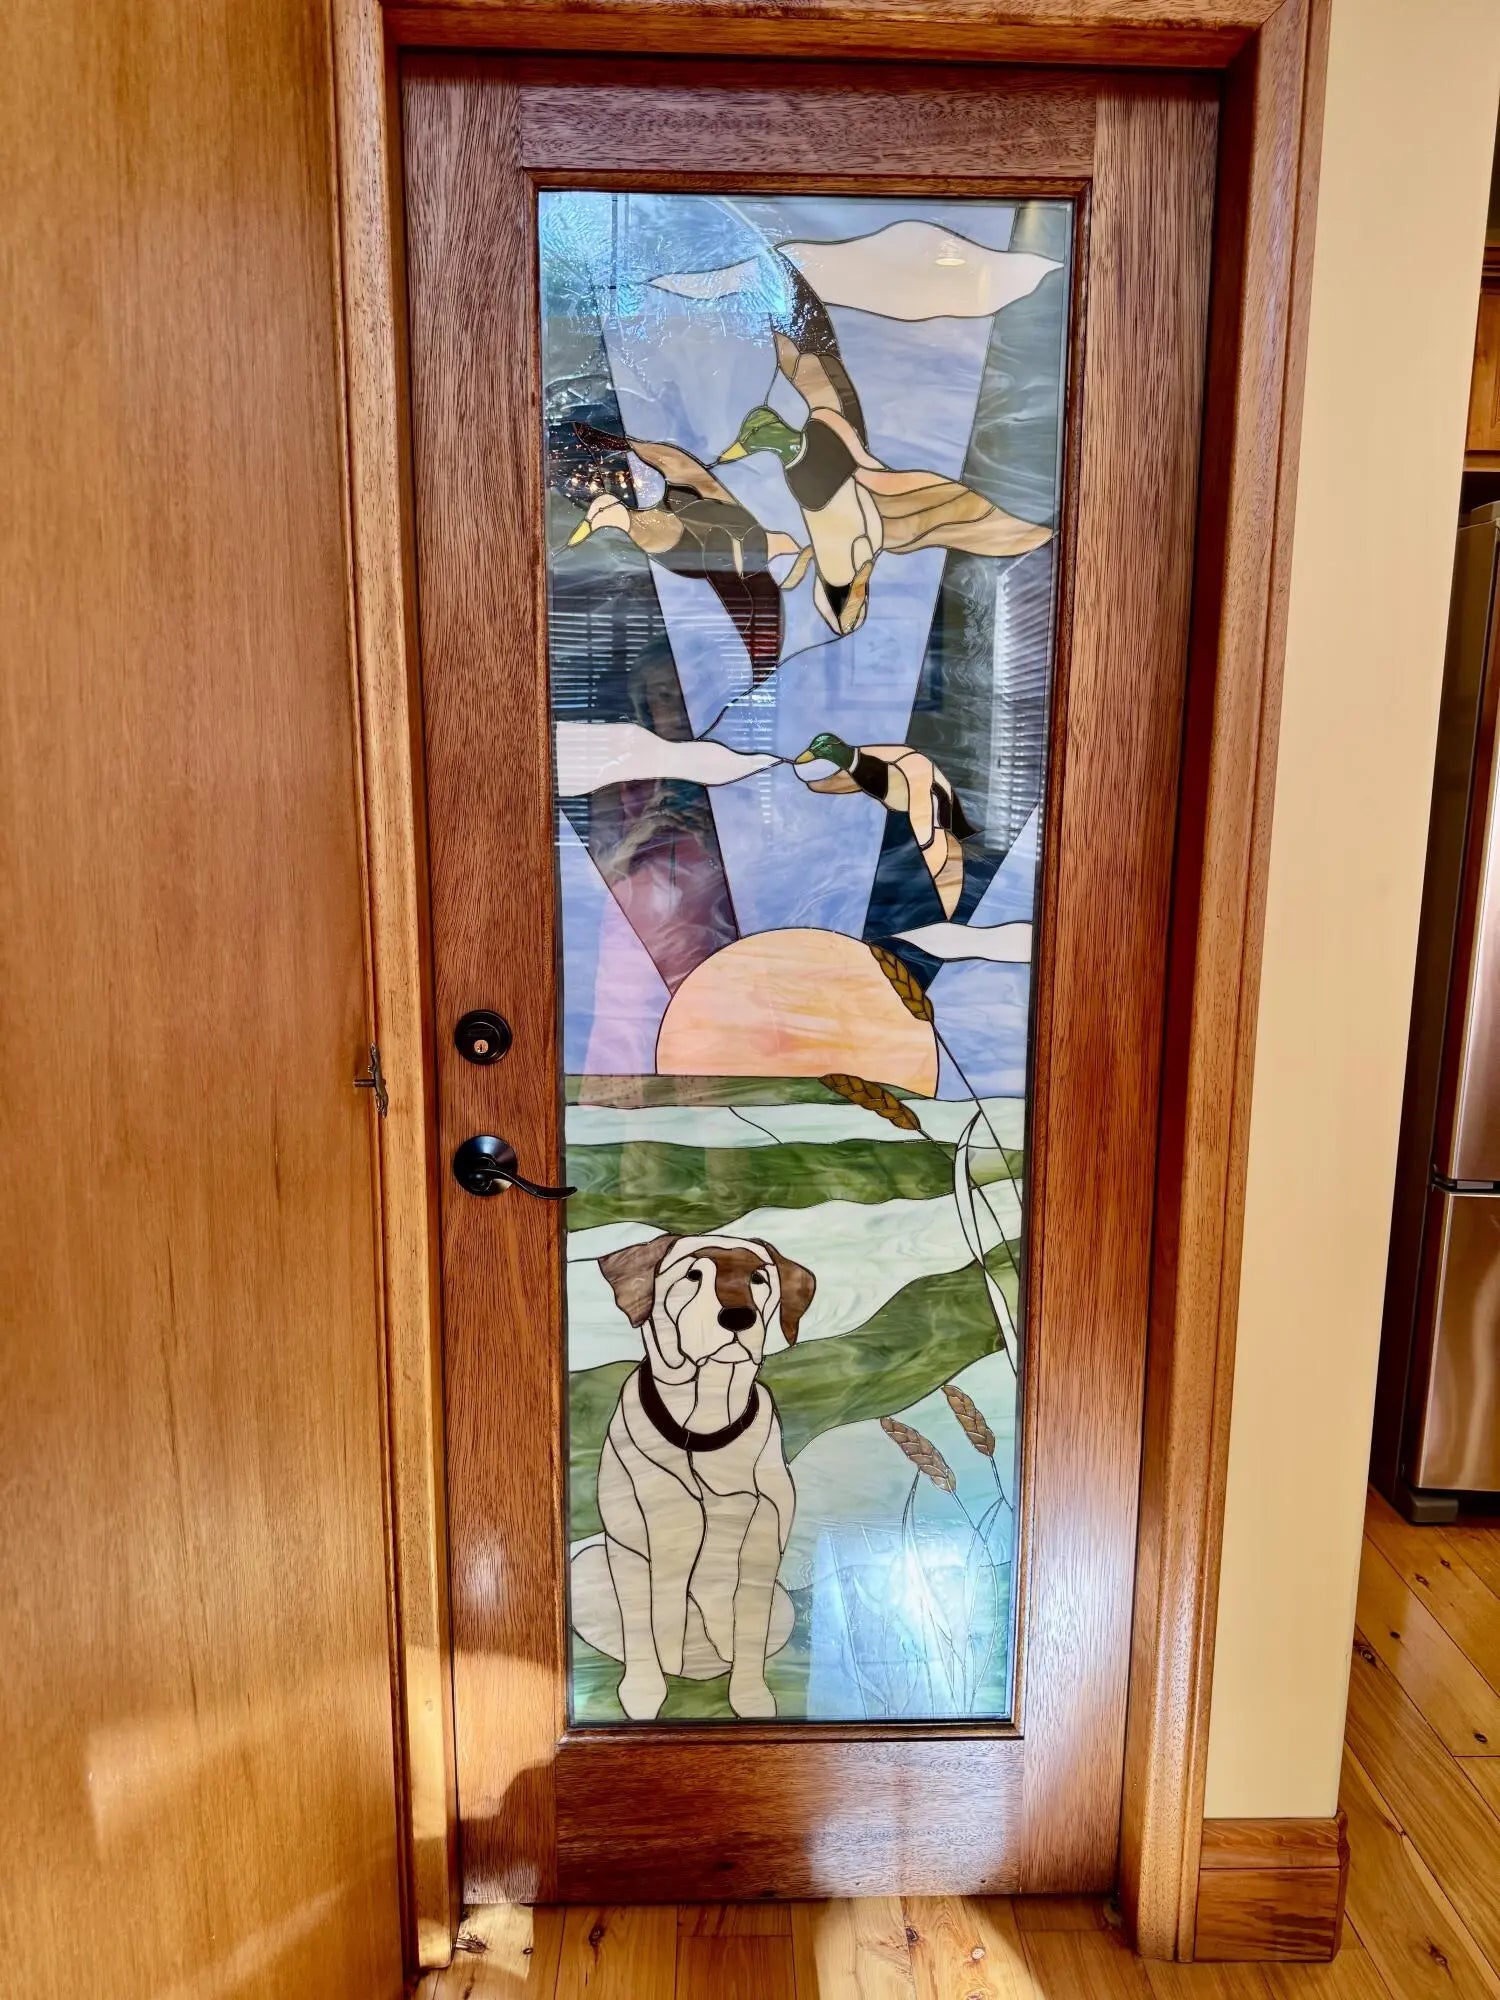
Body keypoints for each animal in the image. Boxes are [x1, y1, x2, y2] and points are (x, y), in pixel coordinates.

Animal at [570, 1232, 815, 1720]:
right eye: (692, 1274)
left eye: (759, 1278)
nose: (738, 1316)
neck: (702, 1428)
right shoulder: (636, 1548)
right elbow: (645, 1624)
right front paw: (643, 1694)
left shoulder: (761, 1549)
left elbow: (747, 1630)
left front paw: (751, 1700)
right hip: (588, 1566)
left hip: (781, 1605)